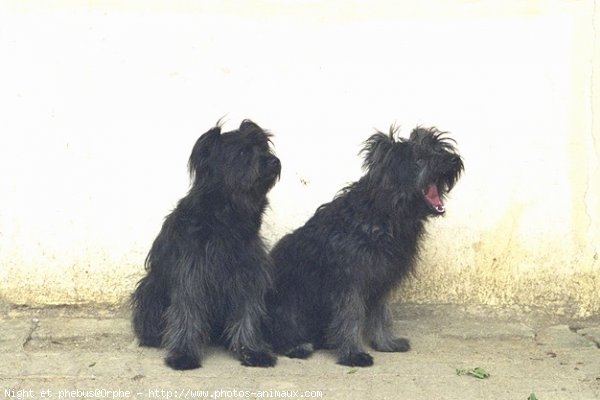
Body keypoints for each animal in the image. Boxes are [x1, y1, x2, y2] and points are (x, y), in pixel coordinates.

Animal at [131, 120, 278, 370]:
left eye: (263, 147)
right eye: (242, 152)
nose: (274, 161)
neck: (227, 219)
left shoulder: (247, 274)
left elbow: (247, 314)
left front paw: (251, 352)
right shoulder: (192, 275)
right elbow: (186, 314)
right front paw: (183, 355)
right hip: (150, 289)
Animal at [266, 124, 464, 366]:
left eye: (438, 148)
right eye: (419, 158)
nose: (453, 159)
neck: (383, 216)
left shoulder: (382, 279)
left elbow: (382, 315)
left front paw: (386, 343)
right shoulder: (349, 282)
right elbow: (351, 316)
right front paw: (353, 353)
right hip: (288, 303)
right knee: (278, 332)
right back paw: (297, 345)